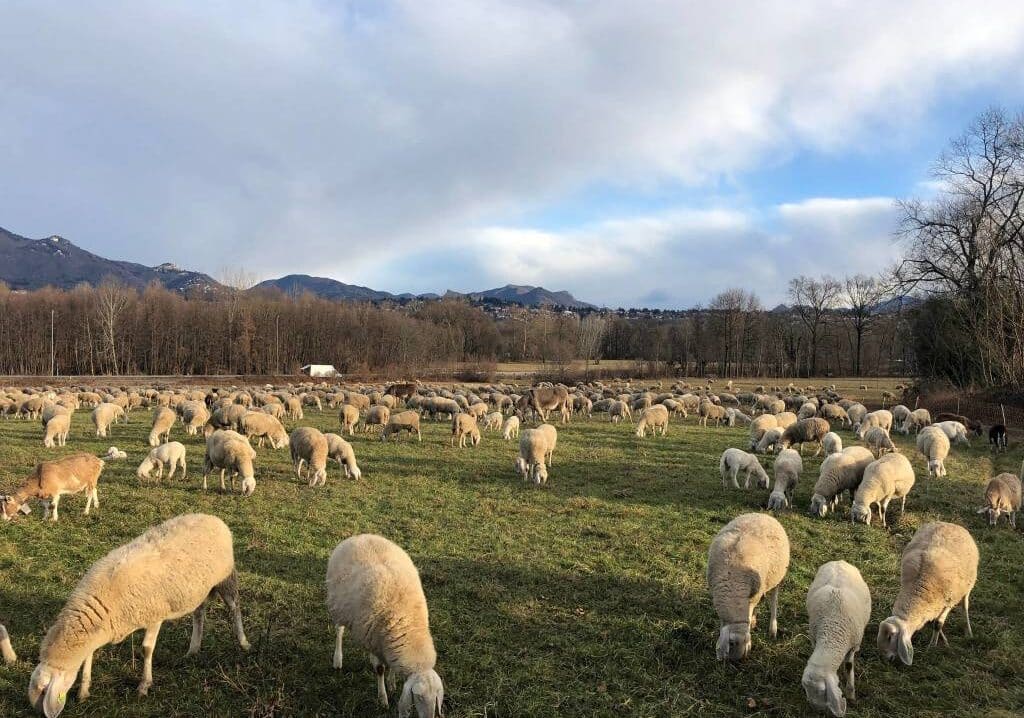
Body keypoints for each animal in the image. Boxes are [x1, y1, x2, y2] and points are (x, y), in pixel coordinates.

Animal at [27, 513, 250, 711]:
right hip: (197, 589)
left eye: (43, 690)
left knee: (235, 608)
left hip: (226, 578)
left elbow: (146, 649)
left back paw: (243, 642)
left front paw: (144, 685)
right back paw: (193, 648)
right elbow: (89, 654)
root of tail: (212, 517)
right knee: (199, 613)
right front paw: (84, 690)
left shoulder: (154, 617)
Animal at [326, 534, 444, 717]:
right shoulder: (378, 639)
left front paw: (392, 682)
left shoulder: (386, 640)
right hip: (338, 605)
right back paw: (337, 659)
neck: (407, 623)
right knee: (339, 630)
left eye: (437, 695)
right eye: (419, 697)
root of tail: (360, 536)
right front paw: (383, 699)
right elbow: (380, 669)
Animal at [707, 513, 789, 662]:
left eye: (745, 642)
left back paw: (772, 629)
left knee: (774, 600)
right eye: (731, 643)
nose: (736, 661)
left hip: (777, 579)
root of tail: (763, 514)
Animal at [802, 561, 872, 717]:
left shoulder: (853, 646)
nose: (815, 709)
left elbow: (849, 666)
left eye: (822, 691)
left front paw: (851, 694)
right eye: (806, 689)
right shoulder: (814, 638)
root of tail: (840, 561)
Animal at [877, 522, 978, 665]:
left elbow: (938, 624)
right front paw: (942, 640)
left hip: (968, 586)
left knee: (965, 606)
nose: (885, 660)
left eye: (890, 637)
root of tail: (950, 523)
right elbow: (936, 621)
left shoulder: (948, 601)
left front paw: (932, 646)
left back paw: (968, 632)